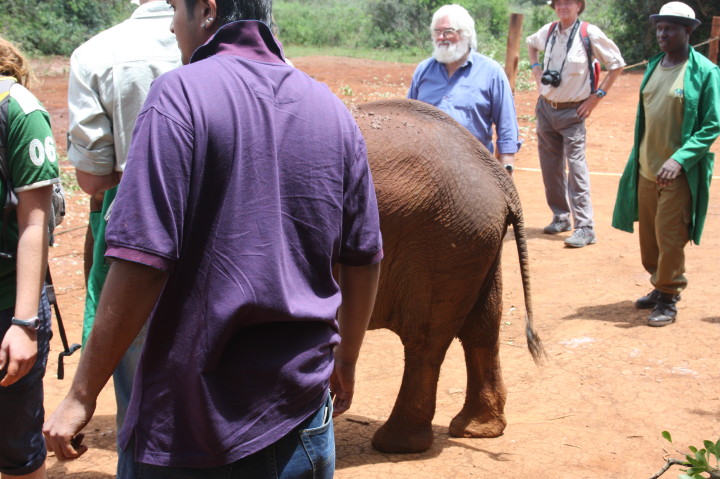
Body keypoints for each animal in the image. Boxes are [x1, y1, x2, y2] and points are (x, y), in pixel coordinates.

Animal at [351, 99, 544, 454]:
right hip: (473, 239)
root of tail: (501, 179)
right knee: (483, 329)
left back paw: (396, 444)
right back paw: (477, 430)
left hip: (446, 237)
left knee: (425, 341)